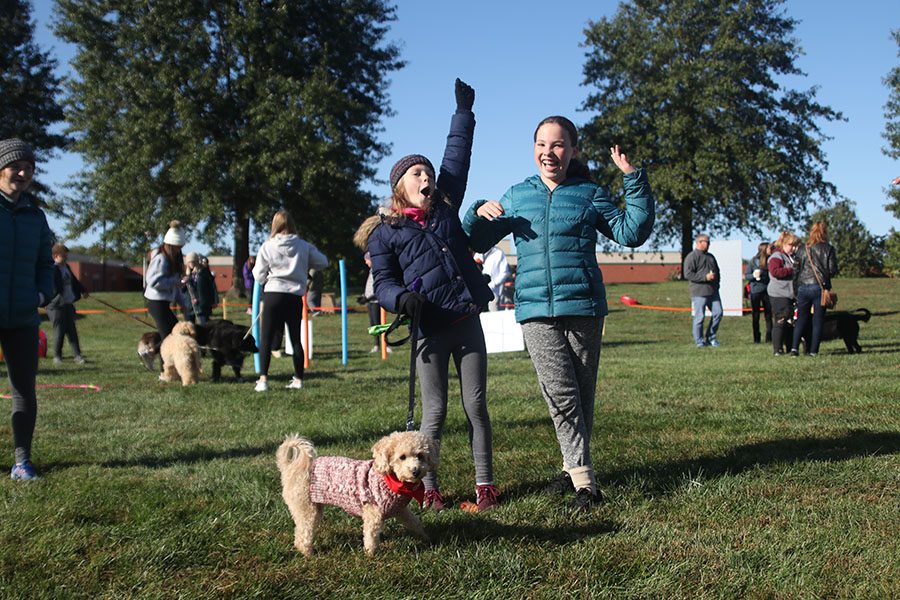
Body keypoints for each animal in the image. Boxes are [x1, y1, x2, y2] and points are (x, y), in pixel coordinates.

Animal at [278, 432, 440, 556]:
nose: (416, 471)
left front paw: (427, 537)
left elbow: (415, 522)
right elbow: (371, 536)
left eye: (420, 456)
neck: (390, 480)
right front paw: (370, 555)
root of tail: (292, 468)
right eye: (402, 457)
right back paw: (308, 554)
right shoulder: (373, 514)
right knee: (303, 534)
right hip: (307, 509)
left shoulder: (400, 510)